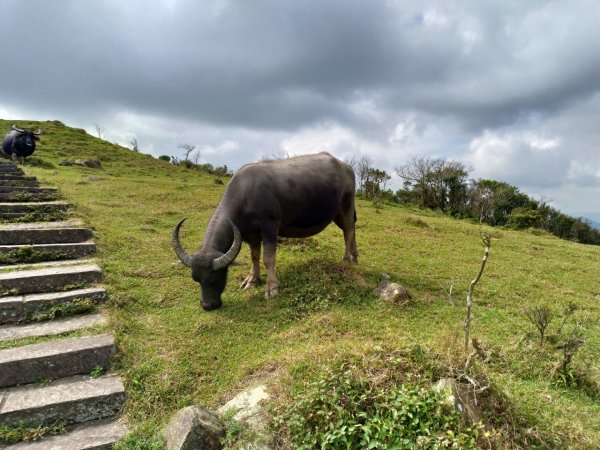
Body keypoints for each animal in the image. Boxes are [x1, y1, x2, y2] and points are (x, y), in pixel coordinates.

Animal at [171, 153, 358, 312]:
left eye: (215, 277)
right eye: (196, 278)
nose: (208, 305)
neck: (245, 196)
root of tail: (346, 166)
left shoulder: (270, 227)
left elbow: (268, 258)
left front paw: (272, 288)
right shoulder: (251, 235)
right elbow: (254, 257)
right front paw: (252, 280)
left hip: (346, 205)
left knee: (349, 230)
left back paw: (346, 259)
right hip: (337, 213)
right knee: (351, 229)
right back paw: (355, 256)